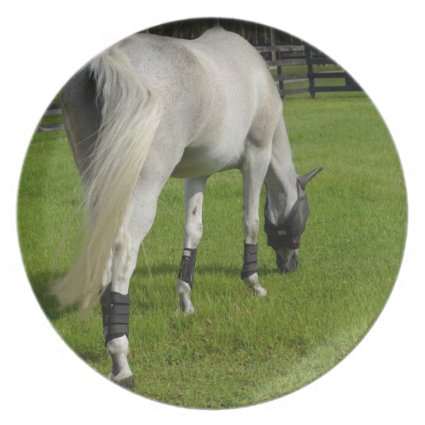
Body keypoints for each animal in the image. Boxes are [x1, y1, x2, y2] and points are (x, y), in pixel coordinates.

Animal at [55, 27, 322, 388]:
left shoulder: (198, 174)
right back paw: (121, 360)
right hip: (142, 187)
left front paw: (185, 302)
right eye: (300, 226)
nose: (290, 265)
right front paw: (254, 284)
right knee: (123, 251)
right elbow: (250, 221)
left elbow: (193, 232)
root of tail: (109, 59)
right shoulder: (257, 157)